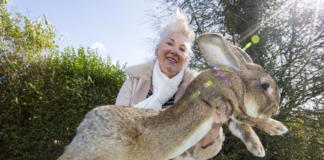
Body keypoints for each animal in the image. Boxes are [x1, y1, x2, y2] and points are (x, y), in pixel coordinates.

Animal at [59, 33, 288, 159]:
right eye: (265, 85)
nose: (276, 109)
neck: (234, 82)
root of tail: (84, 128)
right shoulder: (226, 102)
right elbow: (249, 119)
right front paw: (278, 128)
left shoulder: (231, 115)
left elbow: (243, 128)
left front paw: (257, 149)